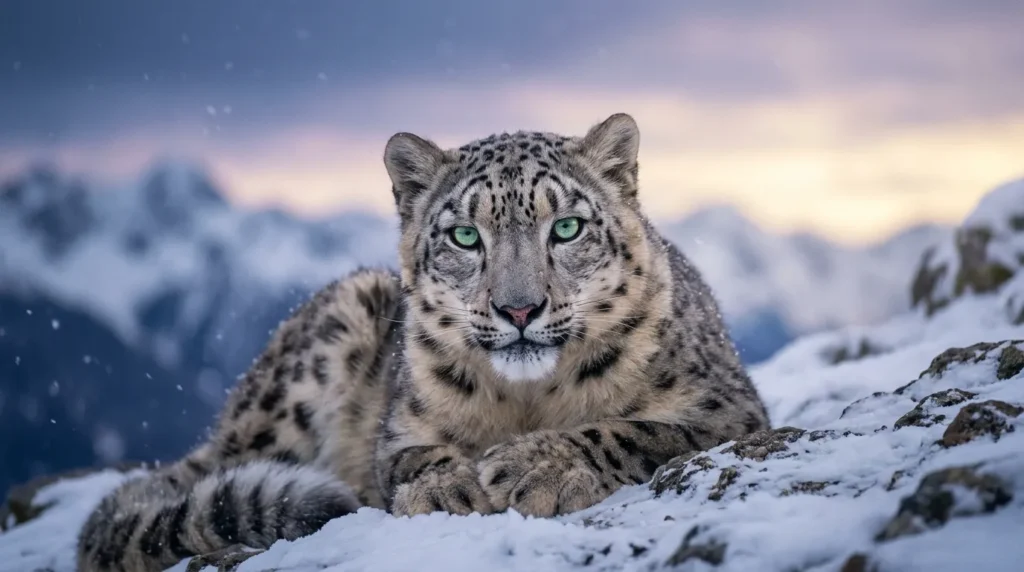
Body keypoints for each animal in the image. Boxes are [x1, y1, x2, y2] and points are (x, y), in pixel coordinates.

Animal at [76, 113, 770, 572]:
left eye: (568, 227)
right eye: (465, 236)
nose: (519, 307)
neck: (530, 401)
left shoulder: (725, 410)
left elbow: (635, 429)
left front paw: (536, 465)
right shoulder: (401, 428)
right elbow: (407, 457)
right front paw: (447, 487)